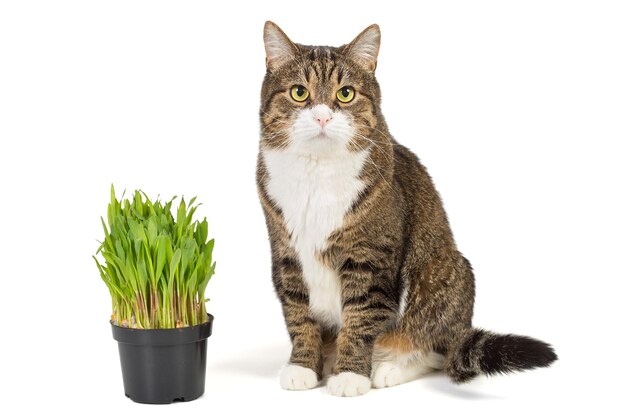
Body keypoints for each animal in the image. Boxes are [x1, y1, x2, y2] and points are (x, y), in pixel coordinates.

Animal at [255, 20, 556, 396]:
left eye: (346, 94)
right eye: (299, 92)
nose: (322, 117)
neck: (316, 171)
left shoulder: (370, 257)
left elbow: (360, 317)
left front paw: (350, 374)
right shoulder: (286, 254)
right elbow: (299, 315)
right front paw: (303, 366)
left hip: (439, 269)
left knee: (432, 348)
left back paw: (389, 366)